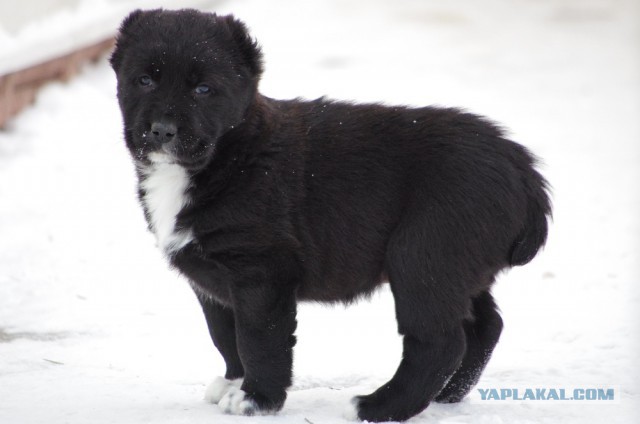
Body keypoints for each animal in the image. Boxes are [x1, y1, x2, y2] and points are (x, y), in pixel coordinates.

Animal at [109, 9, 552, 420]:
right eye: (144, 80)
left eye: (203, 89)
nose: (162, 130)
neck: (231, 154)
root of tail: (524, 171)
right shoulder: (212, 280)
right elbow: (225, 335)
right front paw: (236, 382)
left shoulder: (261, 270)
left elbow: (258, 337)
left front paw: (257, 399)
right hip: (459, 268)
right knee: (483, 328)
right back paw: (445, 397)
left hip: (423, 258)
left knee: (439, 343)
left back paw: (380, 406)